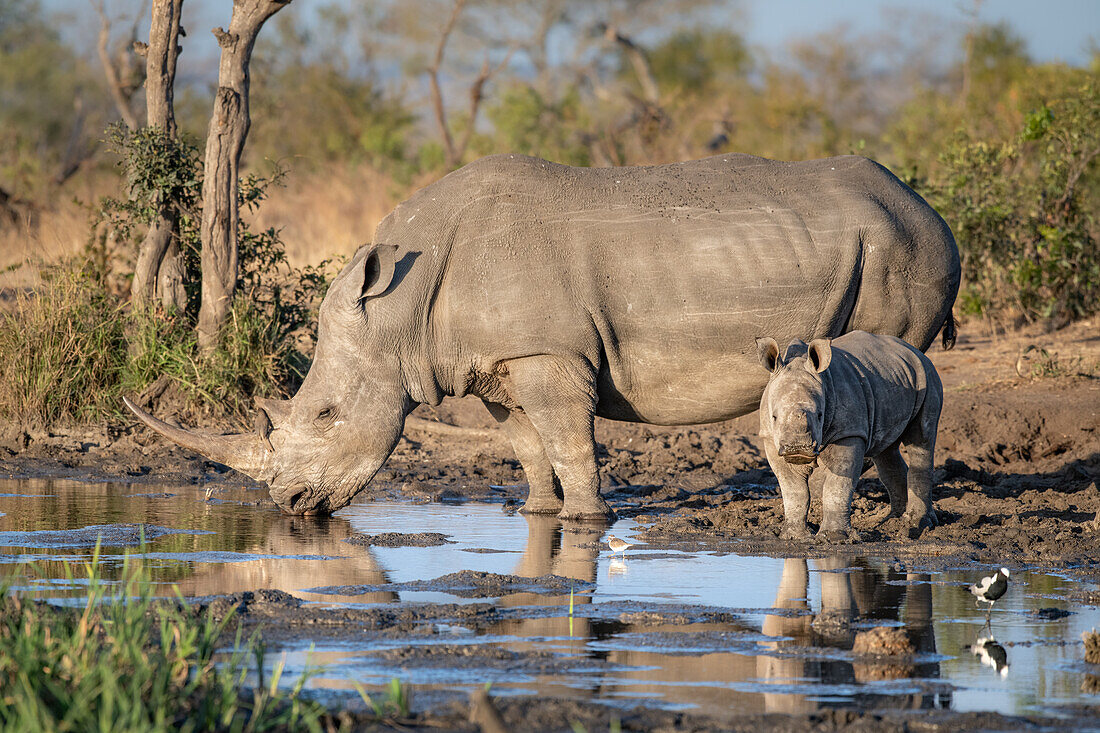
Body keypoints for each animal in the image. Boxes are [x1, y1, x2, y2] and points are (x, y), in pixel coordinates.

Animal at [756, 327, 946, 539]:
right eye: (774, 417)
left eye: (820, 415)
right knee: (887, 451)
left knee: (922, 440)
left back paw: (917, 523)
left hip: (929, 377)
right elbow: (794, 490)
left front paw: (834, 538)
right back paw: (894, 521)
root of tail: (915, 351)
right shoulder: (770, 438)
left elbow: (837, 485)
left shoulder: (849, 432)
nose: (797, 449)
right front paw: (794, 536)